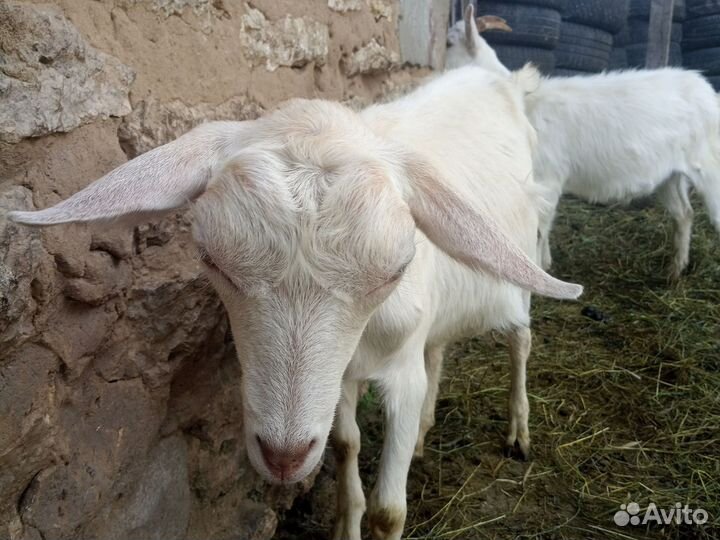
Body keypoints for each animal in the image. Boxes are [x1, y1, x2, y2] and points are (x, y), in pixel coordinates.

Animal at [9, 66, 582, 540]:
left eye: (395, 270)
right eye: (210, 258)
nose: (283, 457)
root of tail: (501, 76)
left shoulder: (399, 371)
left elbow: (388, 512)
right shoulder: (342, 374)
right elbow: (346, 444)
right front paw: (345, 520)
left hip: (523, 261)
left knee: (521, 338)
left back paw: (518, 432)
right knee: (439, 349)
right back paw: (424, 435)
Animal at [450, 5, 720, 278]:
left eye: (449, 42)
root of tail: (706, 89)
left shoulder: (545, 180)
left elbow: (539, 232)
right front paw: (547, 264)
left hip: (709, 166)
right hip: (670, 176)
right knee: (684, 214)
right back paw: (675, 270)